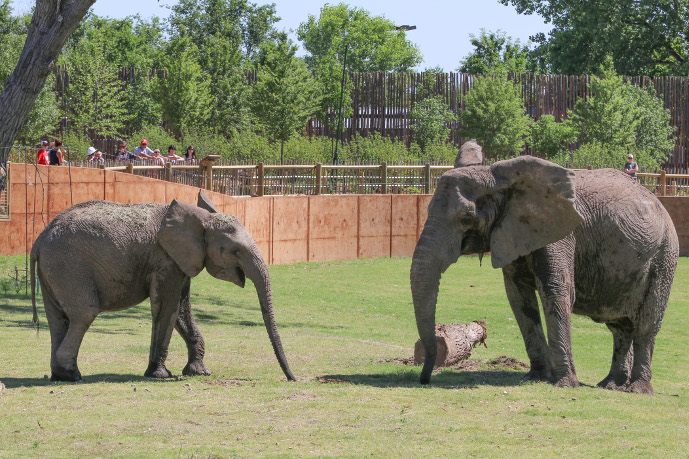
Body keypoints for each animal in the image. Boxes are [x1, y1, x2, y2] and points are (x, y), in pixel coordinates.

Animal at [30, 191, 296, 384]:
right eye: (236, 251)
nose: (292, 378)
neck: (200, 219)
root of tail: (39, 239)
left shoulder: (181, 261)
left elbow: (181, 310)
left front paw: (199, 372)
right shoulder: (165, 260)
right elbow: (167, 307)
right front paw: (160, 375)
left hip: (54, 269)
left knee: (58, 319)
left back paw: (59, 375)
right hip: (68, 266)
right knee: (84, 313)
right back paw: (72, 376)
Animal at [408, 141, 676, 396]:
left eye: (466, 219)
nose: (424, 378)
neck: (503, 181)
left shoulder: (561, 233)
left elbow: (556, 291)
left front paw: (565, 384)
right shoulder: (511, 230)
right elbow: (518, 297)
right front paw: (537, 377)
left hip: (663, 258)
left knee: (646, 325)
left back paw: (637, 389)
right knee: (620, 327)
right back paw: (611, 385)